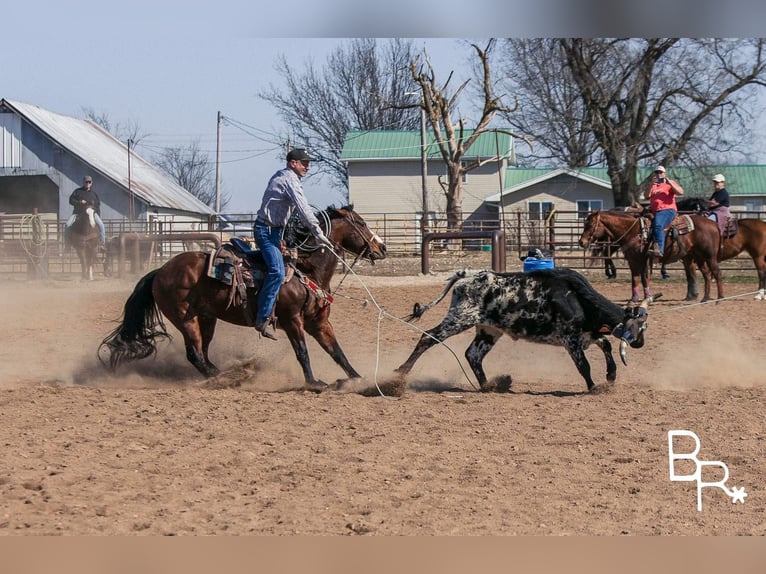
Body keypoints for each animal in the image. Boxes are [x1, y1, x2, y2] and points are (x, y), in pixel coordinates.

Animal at [99, 206, 390, 392]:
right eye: (361, 223)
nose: (382, 248)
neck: (306, 268)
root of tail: (160, 271)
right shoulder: (292, 320)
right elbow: (303, 352)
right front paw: (314, 383)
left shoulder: (318, 322)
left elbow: (337, 352)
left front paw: (359, 379)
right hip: (185, 318)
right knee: (194, 354)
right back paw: (225, 378)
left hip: (207, 318)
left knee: (203, 352)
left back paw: (228, 373)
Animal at [584, 209, 728, 304]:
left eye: (590, 224)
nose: (581, 242)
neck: (634, 232)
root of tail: (713, 224)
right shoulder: (634, 260)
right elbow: (636, 279)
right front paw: (635, 299)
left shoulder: (641, 260)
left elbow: (643, 279)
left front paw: (646, 298)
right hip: (699, 256)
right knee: (707, 274)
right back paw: (705, 298)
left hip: (710, 256)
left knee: (717, 273)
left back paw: (720, 298)